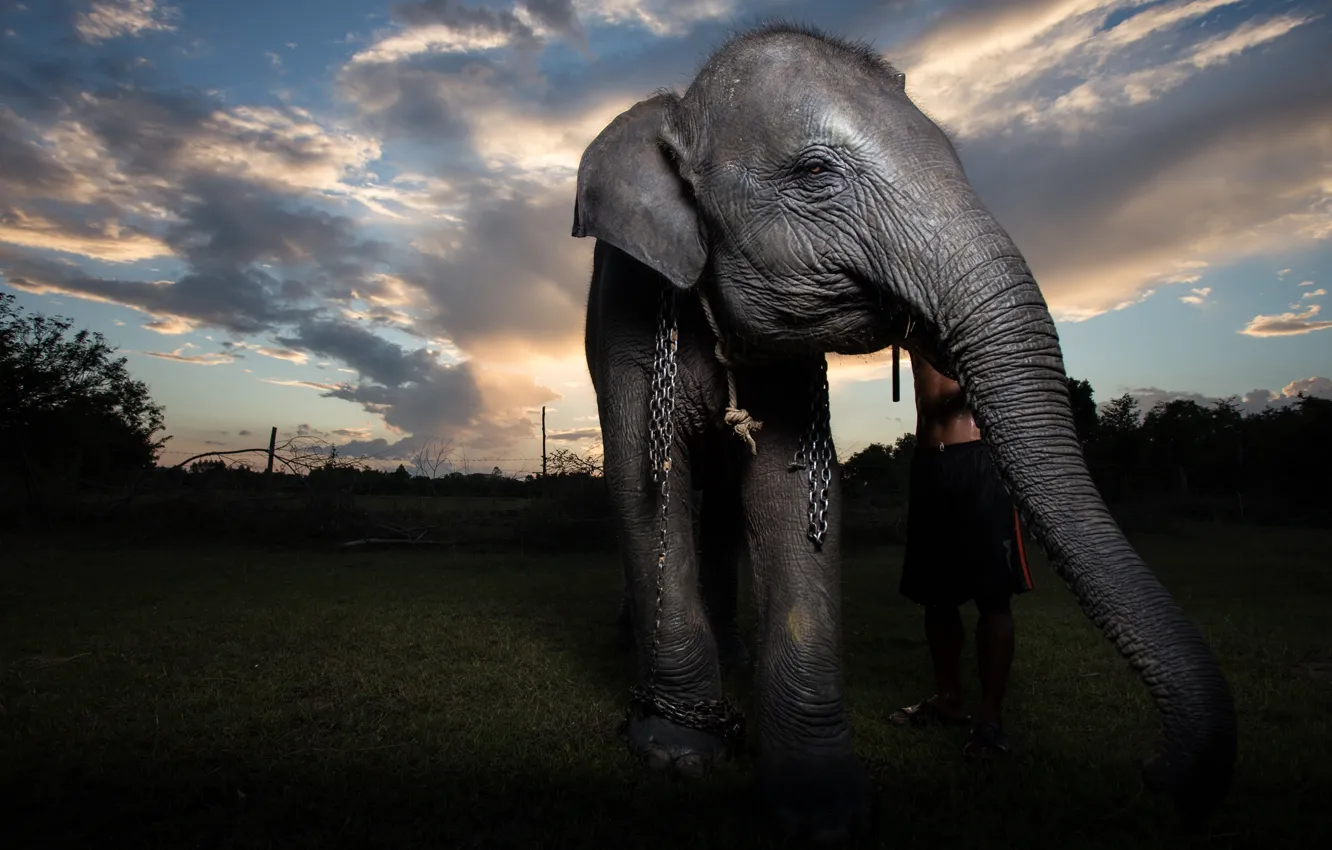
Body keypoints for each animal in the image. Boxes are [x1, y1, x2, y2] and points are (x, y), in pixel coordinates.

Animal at [574, 21, 1236, 843]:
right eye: (815, 172)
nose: (1154, 773)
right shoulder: (628, 316)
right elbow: (647, 484)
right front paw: (677, 753)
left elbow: (793, 496)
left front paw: (822, 806)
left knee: (724, 511)